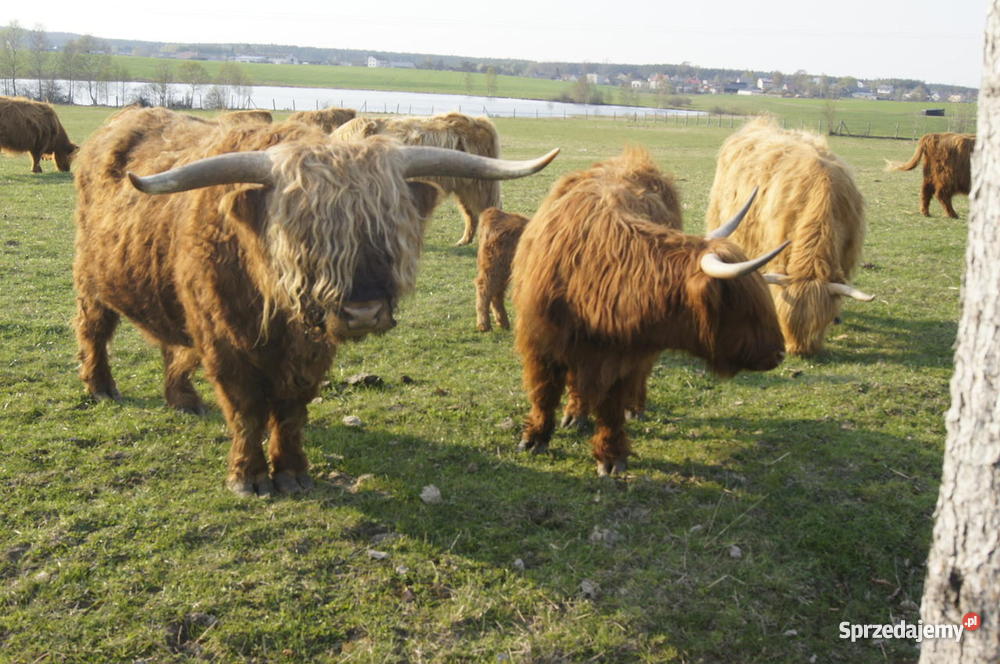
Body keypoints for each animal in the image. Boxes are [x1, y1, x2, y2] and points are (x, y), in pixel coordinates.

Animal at [334, 112, 502, 245]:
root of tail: (481, 121)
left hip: (481, 185)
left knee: (490, 207)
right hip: (464, 185)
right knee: (470, 212)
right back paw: (463, 241)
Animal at [512, 147, 787, 476]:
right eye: (747, 310)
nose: (779, 354)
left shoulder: (623, 354)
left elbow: (612, 407)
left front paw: (611, 457)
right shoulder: (540, 340)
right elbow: (544, 392)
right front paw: (534, 438)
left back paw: (632, 409)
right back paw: (575, 414)